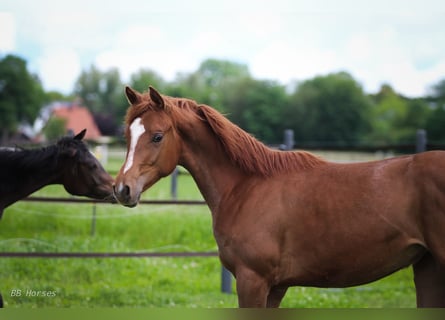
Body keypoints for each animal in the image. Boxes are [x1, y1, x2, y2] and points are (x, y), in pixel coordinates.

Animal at [113, 85, 444, 308]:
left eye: (157, 136)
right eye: (128, 136)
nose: (121, 189)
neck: (246, 188)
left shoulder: (253, 281)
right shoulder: (275, 288)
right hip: (427, 267)